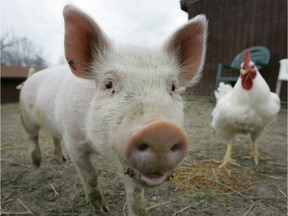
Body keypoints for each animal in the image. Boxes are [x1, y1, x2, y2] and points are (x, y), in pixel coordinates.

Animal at [19, 4, 207, 215]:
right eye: (108, 84)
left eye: (173, 87)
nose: (161, 131)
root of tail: (30, 77)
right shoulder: (73, 141)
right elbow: (90, 175)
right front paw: (102, 209)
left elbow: (136, 194)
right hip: (26, 117)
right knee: (32, 137)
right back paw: (36, 166)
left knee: (54, 137)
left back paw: (61, 160)